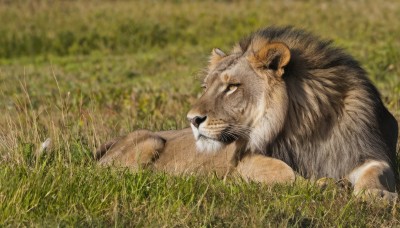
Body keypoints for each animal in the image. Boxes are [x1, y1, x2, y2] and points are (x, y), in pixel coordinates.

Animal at [97, 26, 400, 200]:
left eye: (232, 87)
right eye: (206, 87)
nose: (192, 120)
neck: (306, 129)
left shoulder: (365, 151)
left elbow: (376, 172)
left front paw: (378, 196)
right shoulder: (242, 163)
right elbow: (283, 173)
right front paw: (322, 185)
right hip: (149, 141)